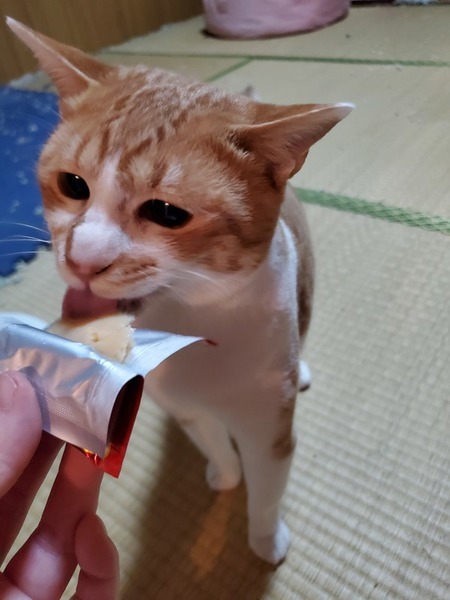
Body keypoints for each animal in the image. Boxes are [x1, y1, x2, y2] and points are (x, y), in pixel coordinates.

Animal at [8, 17, 352, 565]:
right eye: (73, 184)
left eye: (167, 213)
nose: (83, 260)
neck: (197, 325)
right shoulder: (186, 408)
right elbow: (215, 446)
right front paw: (225, 476)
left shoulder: (267, 428)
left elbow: (267, 489)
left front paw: (264, 540)